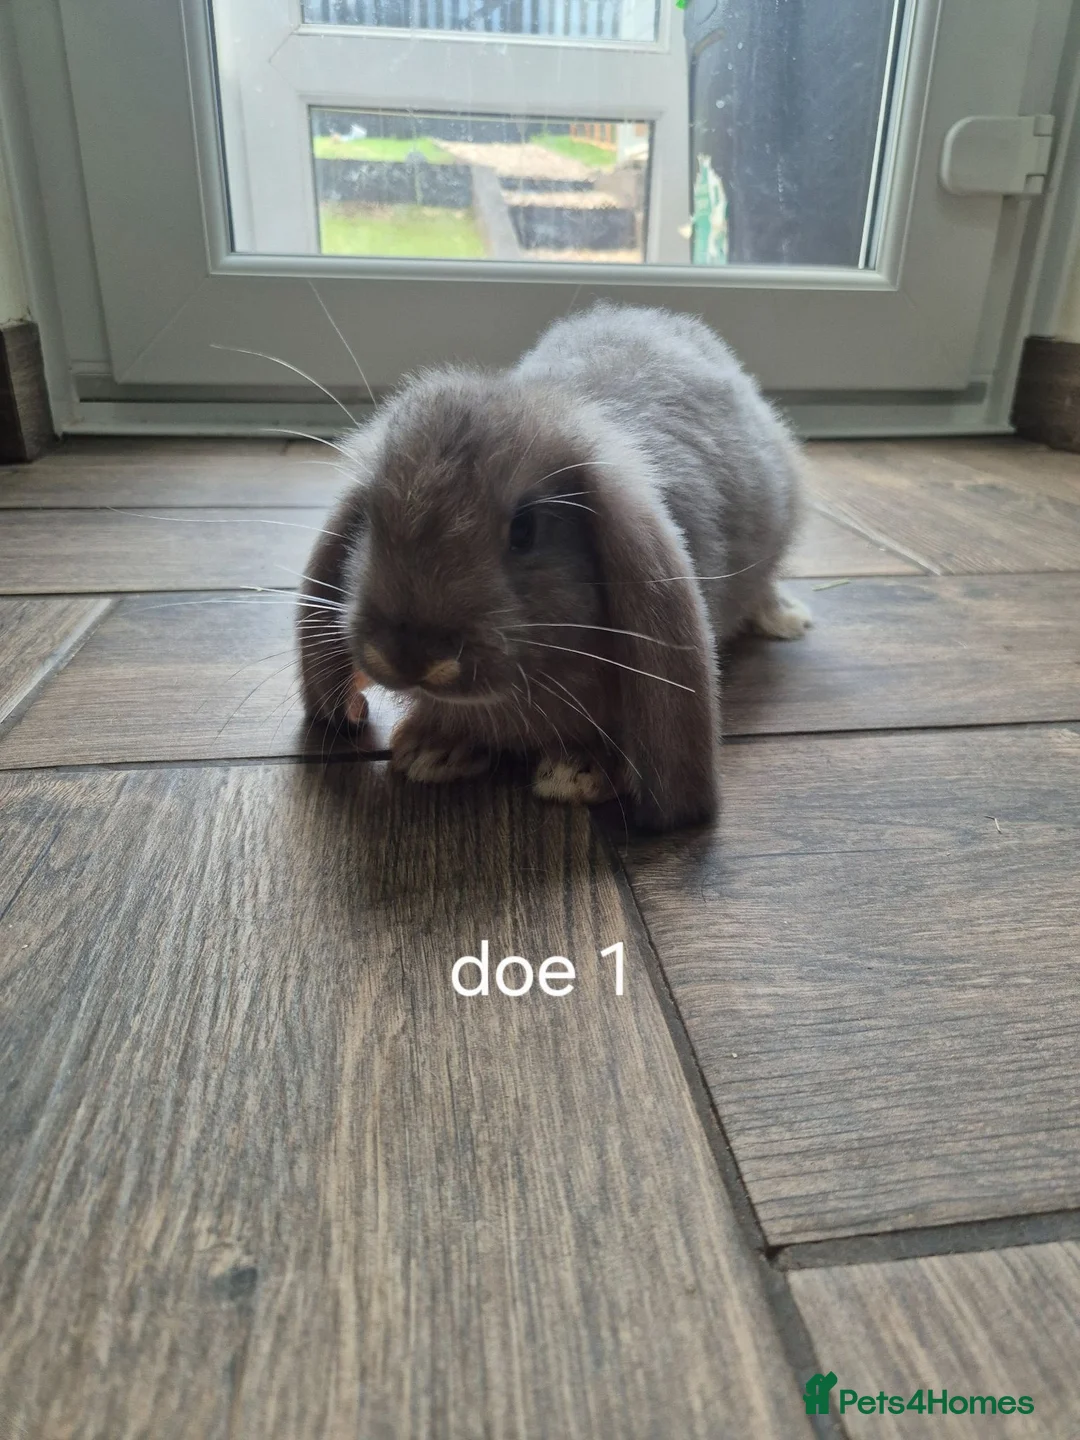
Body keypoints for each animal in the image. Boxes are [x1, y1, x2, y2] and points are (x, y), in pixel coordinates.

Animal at [297, 302, 810, 832]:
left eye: (525, 529)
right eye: (372, 519)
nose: (410, 657)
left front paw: (578, 772)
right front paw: (432, 750)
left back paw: (785, 620)